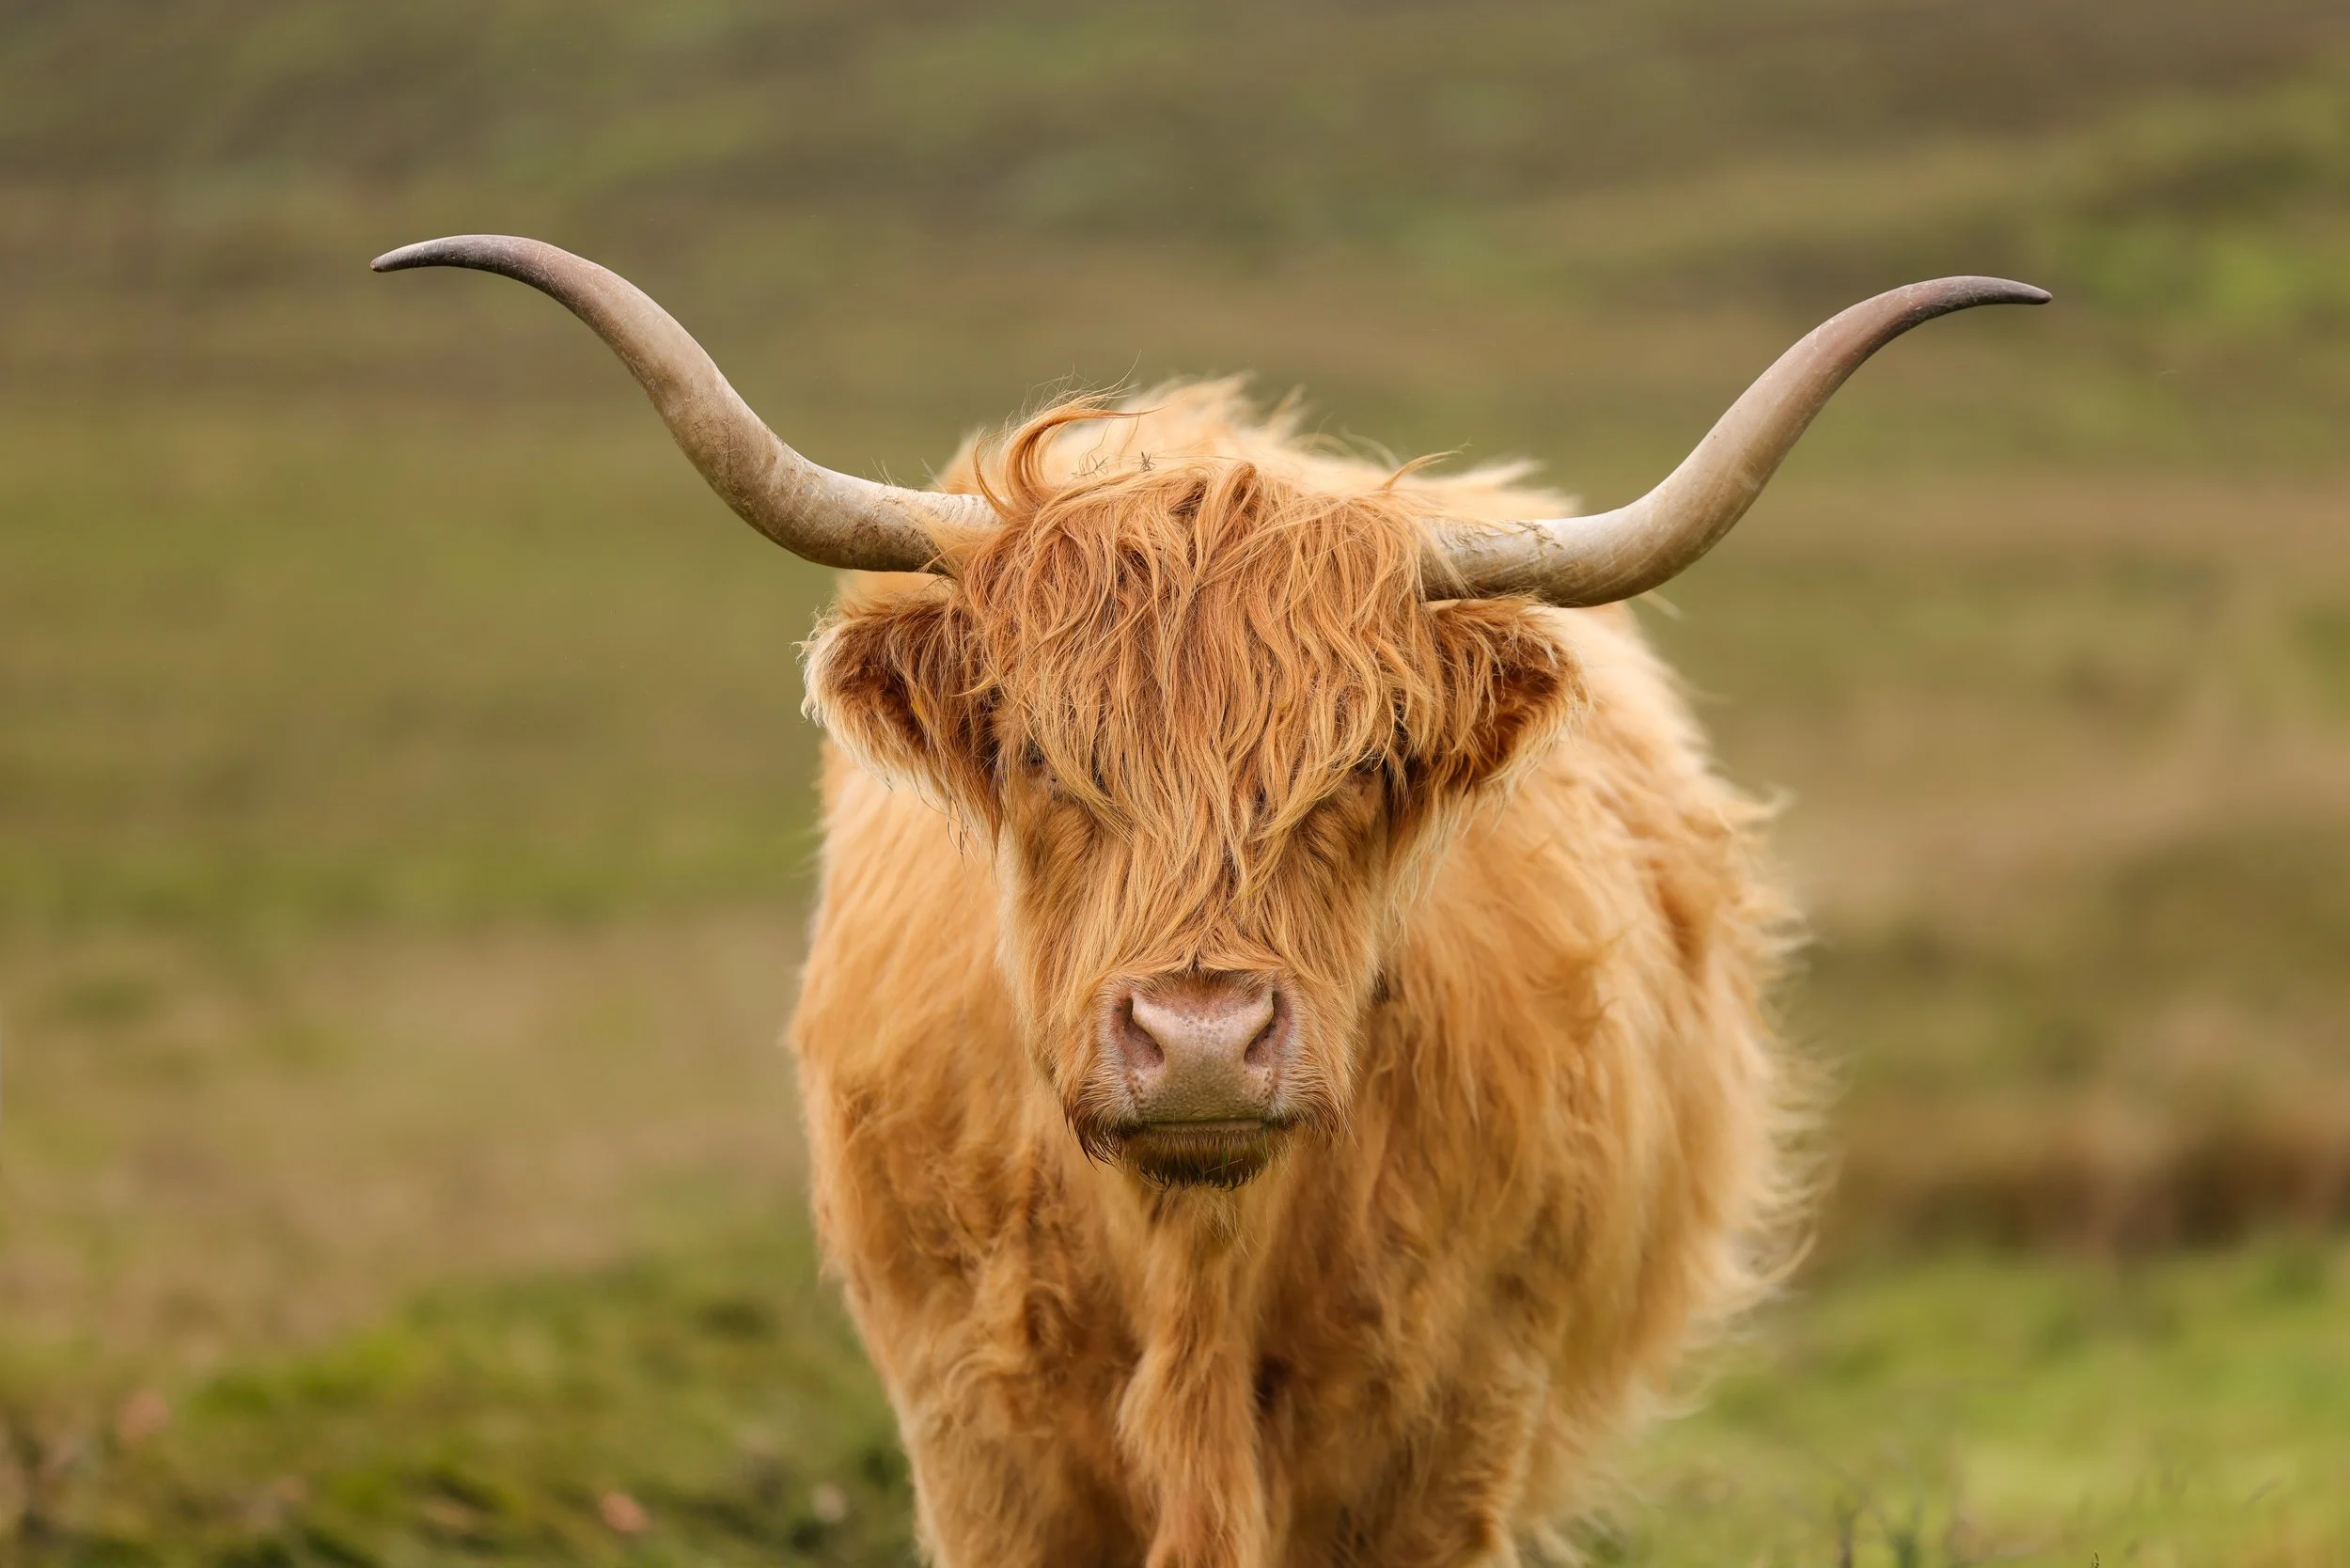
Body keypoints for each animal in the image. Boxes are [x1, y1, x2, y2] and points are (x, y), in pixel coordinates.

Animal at [377, 235, 2044, 1567]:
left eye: (1366, 762)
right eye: (1039, 754)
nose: (1197, 1041)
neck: (1193, 1267)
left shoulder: (1458, 1441)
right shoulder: (976, 1449)